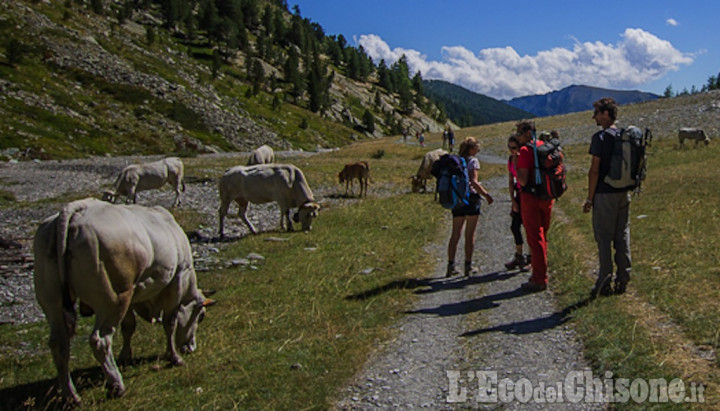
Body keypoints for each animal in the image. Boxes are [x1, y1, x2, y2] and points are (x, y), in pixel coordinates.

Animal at [33, 198, 212, 404]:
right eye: (201, 316)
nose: (191, 347)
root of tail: (77, 209)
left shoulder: (133, 297)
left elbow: (128, 327)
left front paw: (125, 357)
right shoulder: (177, 282)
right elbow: (170, 323)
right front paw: (174, 357)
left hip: (52, 301)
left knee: (59, 344)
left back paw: (71, 395)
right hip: (114, 298)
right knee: (100, 340)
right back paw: (116, 386)